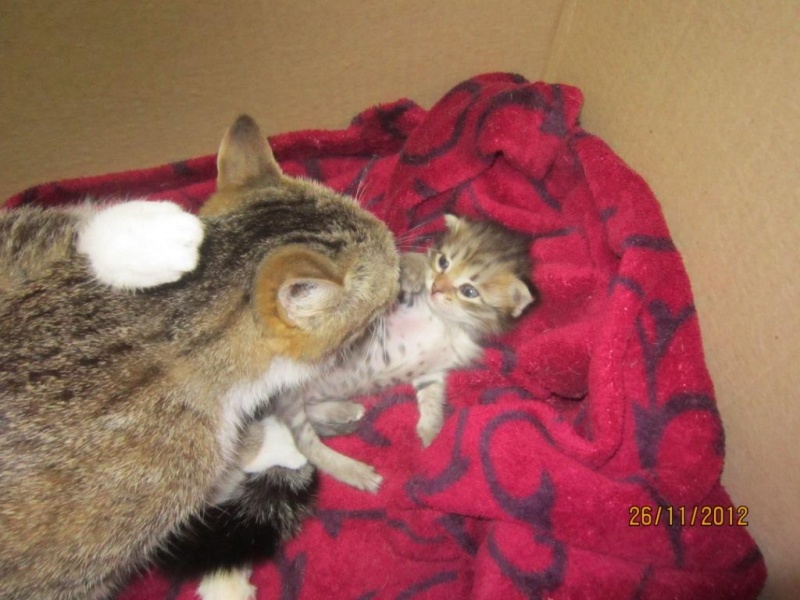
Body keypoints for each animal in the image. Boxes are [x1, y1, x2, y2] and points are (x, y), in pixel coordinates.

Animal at [274, 215, 536, 492]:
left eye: (469, 291)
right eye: (443, 262)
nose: (436, 288)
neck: (445, 323)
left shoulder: (434, 371)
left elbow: (431, 395)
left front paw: (431, 428)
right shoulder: (384, 308)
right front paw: (413, 269)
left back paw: (343, 409)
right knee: (306, 444)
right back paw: (354, 471)